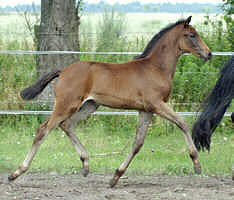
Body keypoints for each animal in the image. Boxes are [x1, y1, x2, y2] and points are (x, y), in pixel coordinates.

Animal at [9, 16, 211, 187]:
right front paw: (197, 163)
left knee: (66, 125)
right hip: (66, 104)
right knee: (43, 130)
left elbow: (138, 143)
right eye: (191, 35)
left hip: (89, 105)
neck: (156, 67)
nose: (209, 54)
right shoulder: (156, 104)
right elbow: (183, 122)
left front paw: (116, 176)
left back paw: (86, 165)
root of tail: (64, 71)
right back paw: (16, 172)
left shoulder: (146, 110)